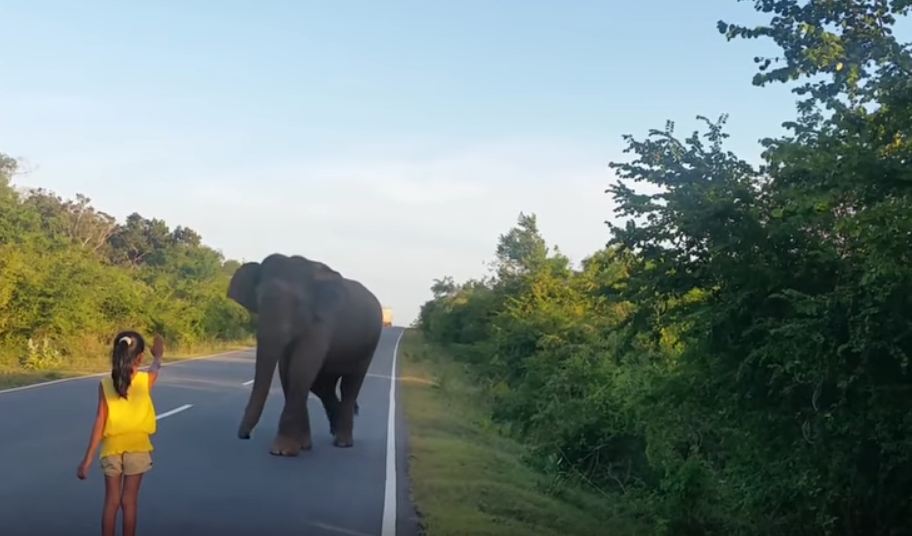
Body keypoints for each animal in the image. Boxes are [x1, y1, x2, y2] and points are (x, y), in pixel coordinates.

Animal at [232, 253, 384, 454]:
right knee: (322, 386)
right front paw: (302, 446)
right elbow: (287, 371)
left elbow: (300, 368)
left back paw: (343, 442)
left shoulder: (323, 321)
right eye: (258, 299)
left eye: (298, 304)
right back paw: (334, 429)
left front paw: (282, 451)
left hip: (369, 345)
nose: (245, 435)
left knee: (350, 385)